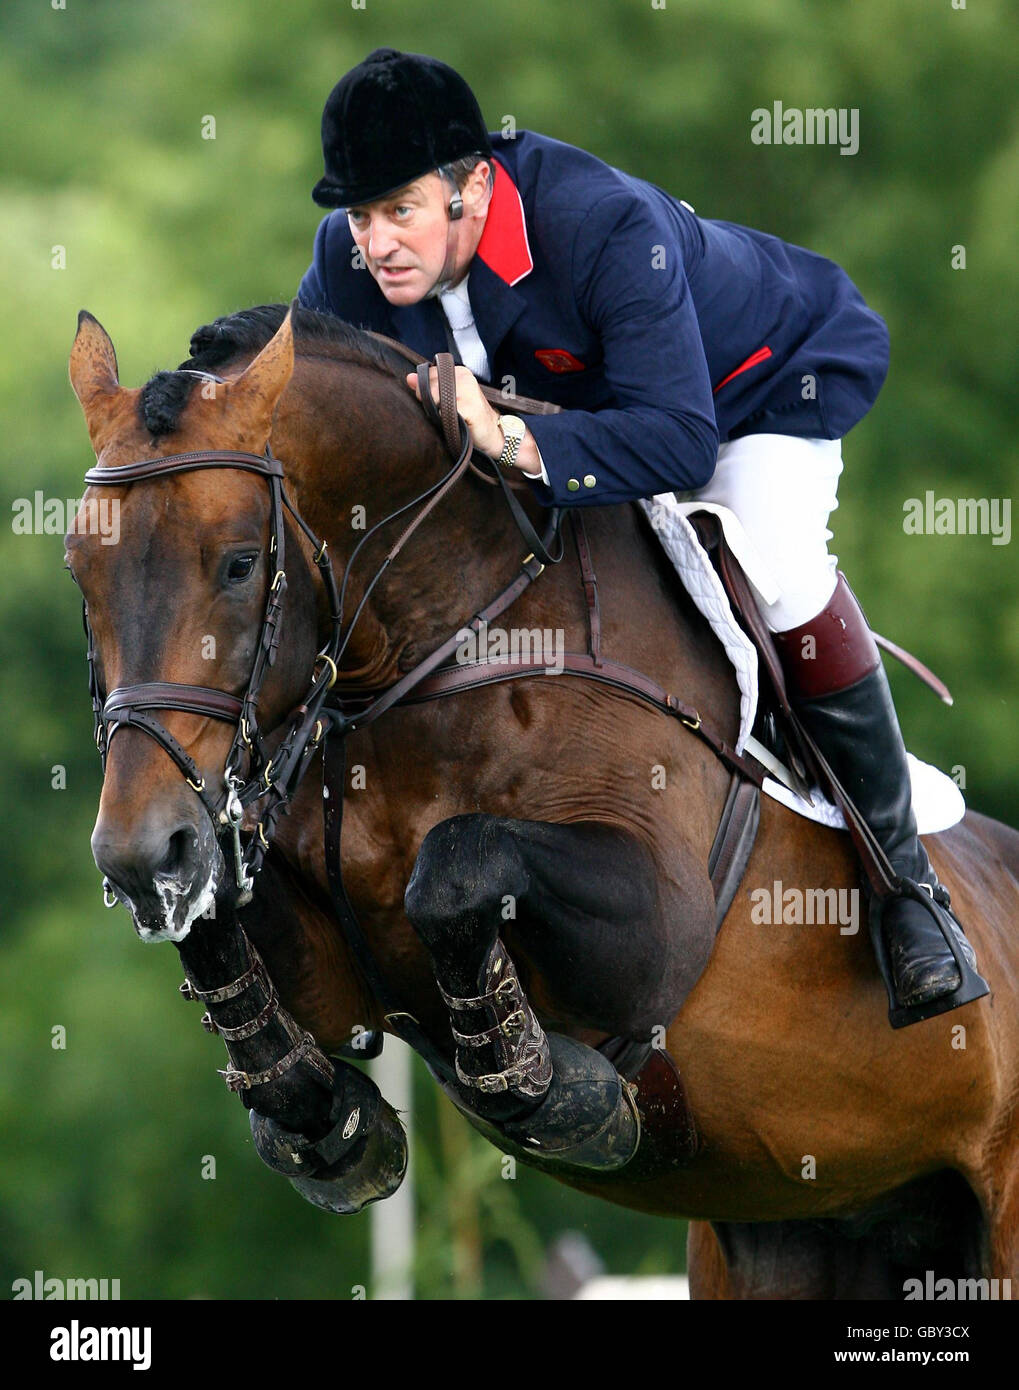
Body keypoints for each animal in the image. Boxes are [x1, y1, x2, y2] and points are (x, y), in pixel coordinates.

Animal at [66, 302, 1019, 1299]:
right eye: (76, 568)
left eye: (241, 565)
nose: (139, 857)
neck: (440, 646)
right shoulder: (328, 973)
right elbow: (221, 923)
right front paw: (323, 1120)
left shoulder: (658, 927)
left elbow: (455, 868)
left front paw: (548, 1089)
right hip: (791, 1232)